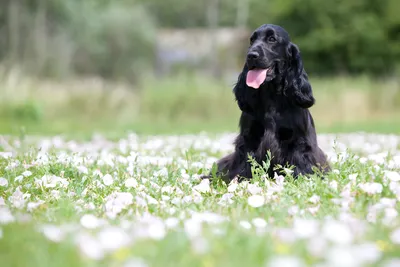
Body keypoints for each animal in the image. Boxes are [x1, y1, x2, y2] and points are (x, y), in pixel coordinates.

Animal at [205, 24, 330, 183]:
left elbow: (300, 164)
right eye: (251, 40)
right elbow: (246, 165)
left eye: (272, 39)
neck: (271, 96)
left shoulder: (299, 141)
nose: (251, 55)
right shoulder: (248, 139)